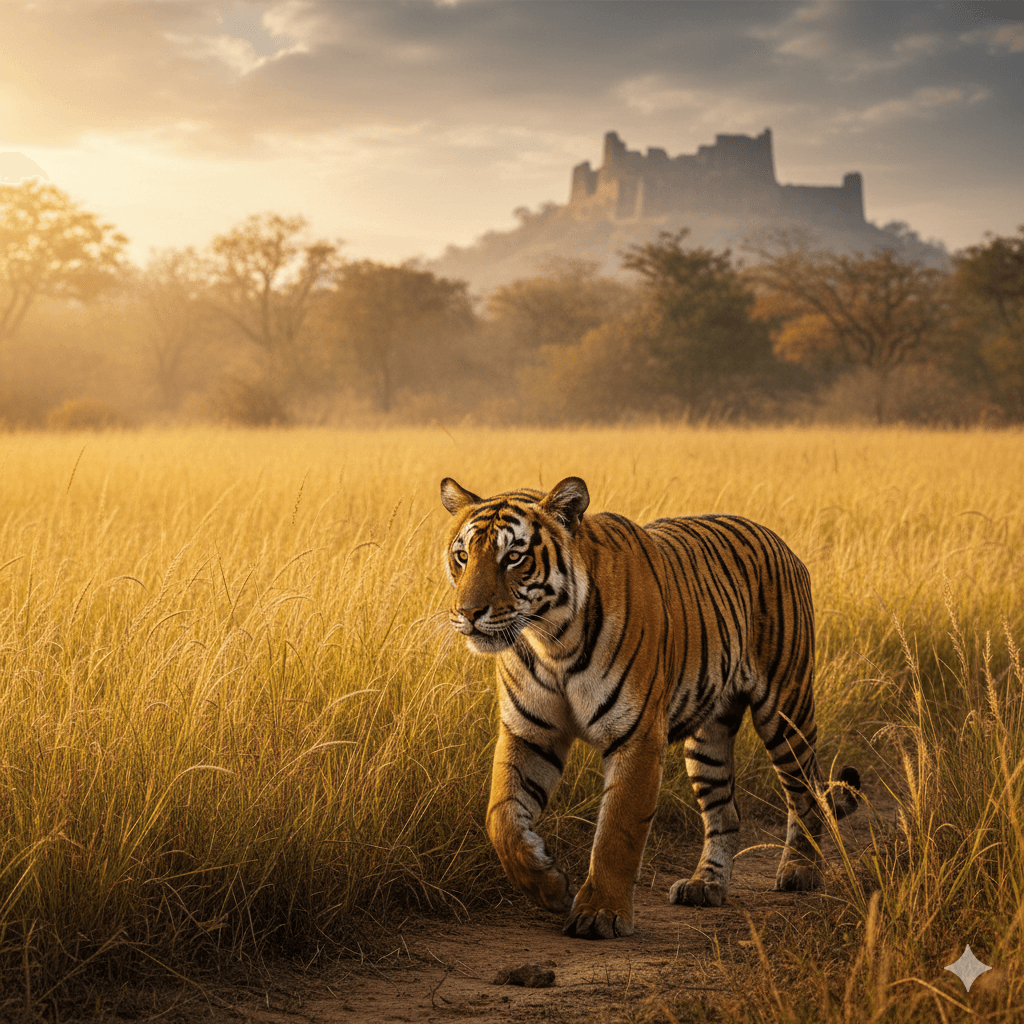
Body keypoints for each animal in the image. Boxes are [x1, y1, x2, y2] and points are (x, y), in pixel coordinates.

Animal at [440, 475, 860, 940]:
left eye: (514, 557)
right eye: (462, 557)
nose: (467, 613)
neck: (551, 642)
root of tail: (779, 541)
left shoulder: (637, 734)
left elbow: (617, 831)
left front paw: (600, 913)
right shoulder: (530, 732)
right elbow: (502, 819)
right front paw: (549, 886)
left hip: (786, 711)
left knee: (807, 793)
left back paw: (801, 871)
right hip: (708, 739)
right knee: (726, 814)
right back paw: (705, 885)